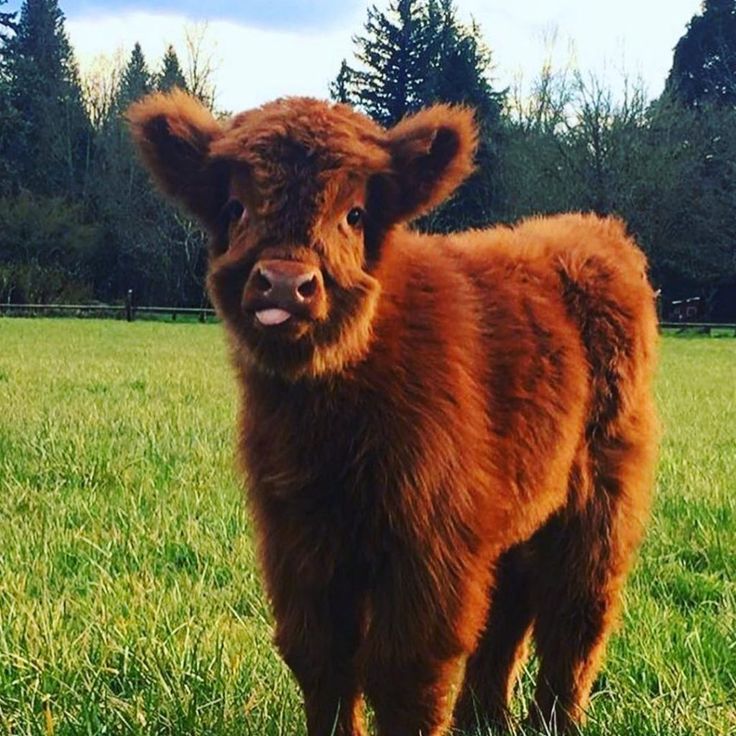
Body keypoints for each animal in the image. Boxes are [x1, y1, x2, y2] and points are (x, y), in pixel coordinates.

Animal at [129, 92, 660, 736]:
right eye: (235, 206)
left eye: (355, 213)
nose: (284, 284)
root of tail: (597, 229)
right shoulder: (298, 538)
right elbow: (321, 659)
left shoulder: (427, 545)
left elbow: (404, 673)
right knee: (509, 604)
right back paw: (482, 719)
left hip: (600, 497)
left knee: (576, 613)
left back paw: (550, 723)